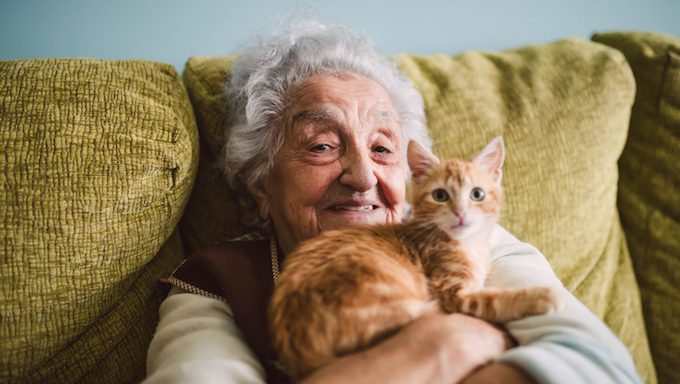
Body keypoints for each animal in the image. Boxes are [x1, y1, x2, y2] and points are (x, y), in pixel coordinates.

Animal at [270, 136, 564, 380]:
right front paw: (540, 296)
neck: (466, 245)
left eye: (477, 194)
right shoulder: (452, 293)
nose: (460, 213)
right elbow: (492, 300)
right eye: (440, 195)